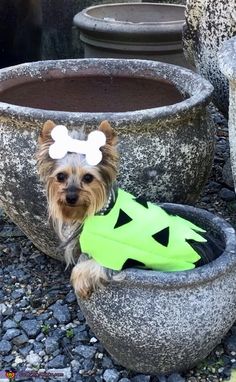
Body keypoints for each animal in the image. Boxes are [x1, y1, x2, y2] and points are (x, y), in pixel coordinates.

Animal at [36, 119, 220, 298]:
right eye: (61, 176)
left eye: (88, 178)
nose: (71, 197)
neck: (102, 210)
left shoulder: (115, 255)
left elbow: (86, 268)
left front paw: (80, 284)